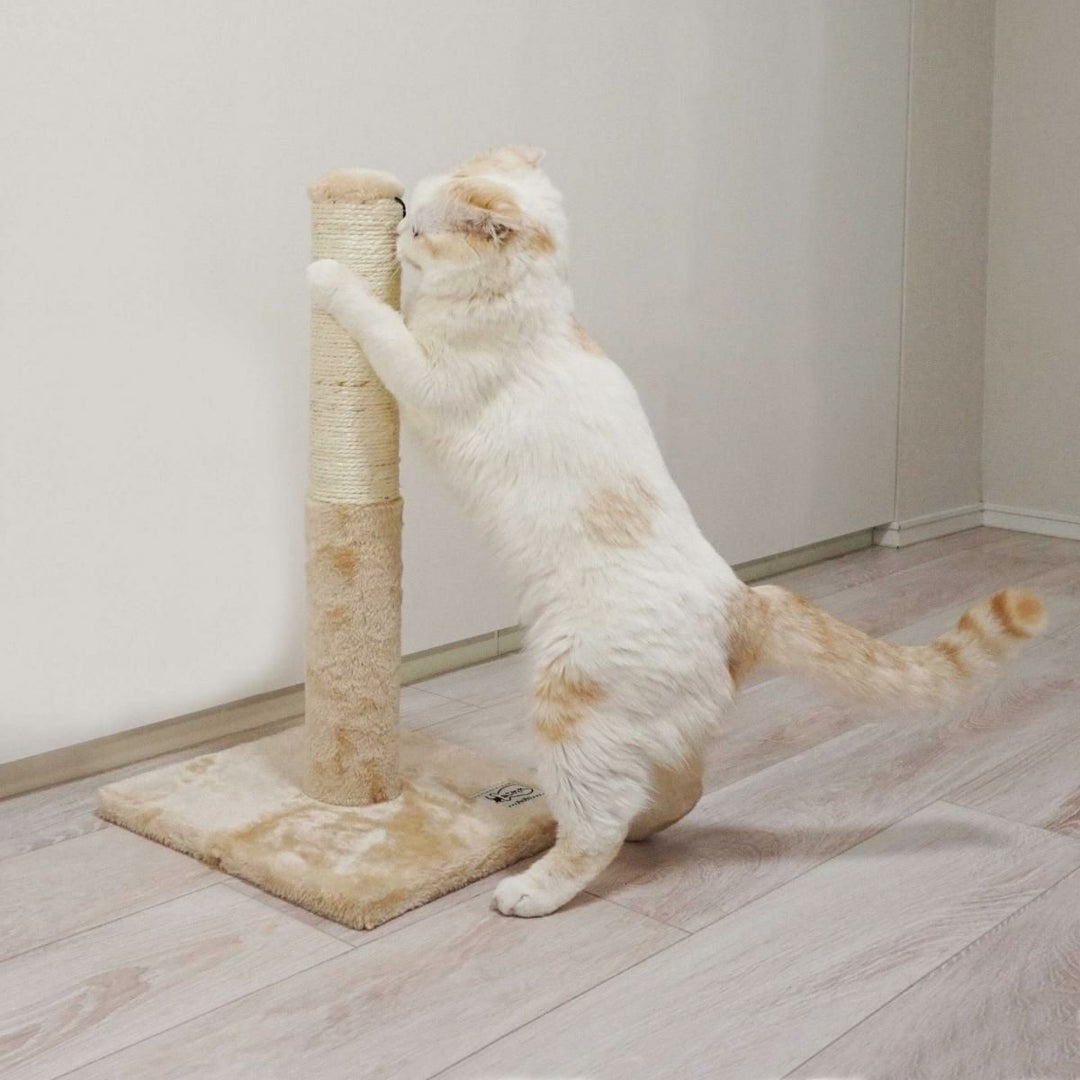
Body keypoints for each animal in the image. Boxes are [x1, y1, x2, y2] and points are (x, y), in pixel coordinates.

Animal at [308, 145, 1046, 918]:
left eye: (422, 229)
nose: (396, 224)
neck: (527, 305)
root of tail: (744, 603)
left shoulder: (427, 376)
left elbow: (381, 322)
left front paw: (333, 274)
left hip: (572, 705)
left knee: (597, 823)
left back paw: (534, 889)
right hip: (644, 727)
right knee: (681, 786)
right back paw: (644, 828)